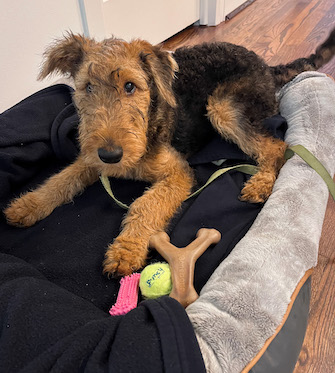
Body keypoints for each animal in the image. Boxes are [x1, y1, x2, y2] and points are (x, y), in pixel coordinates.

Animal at [4, 29, 335, 274]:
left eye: (130, 86)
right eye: (87, 87)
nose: (111, 155)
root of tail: (266, 64)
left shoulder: (178, 173)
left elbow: (145, 205)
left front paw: (126, 250)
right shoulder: (91, 159)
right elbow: (62, 179)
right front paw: (27, 205)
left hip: (223, 107)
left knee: (277, 145)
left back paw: (261, 183)